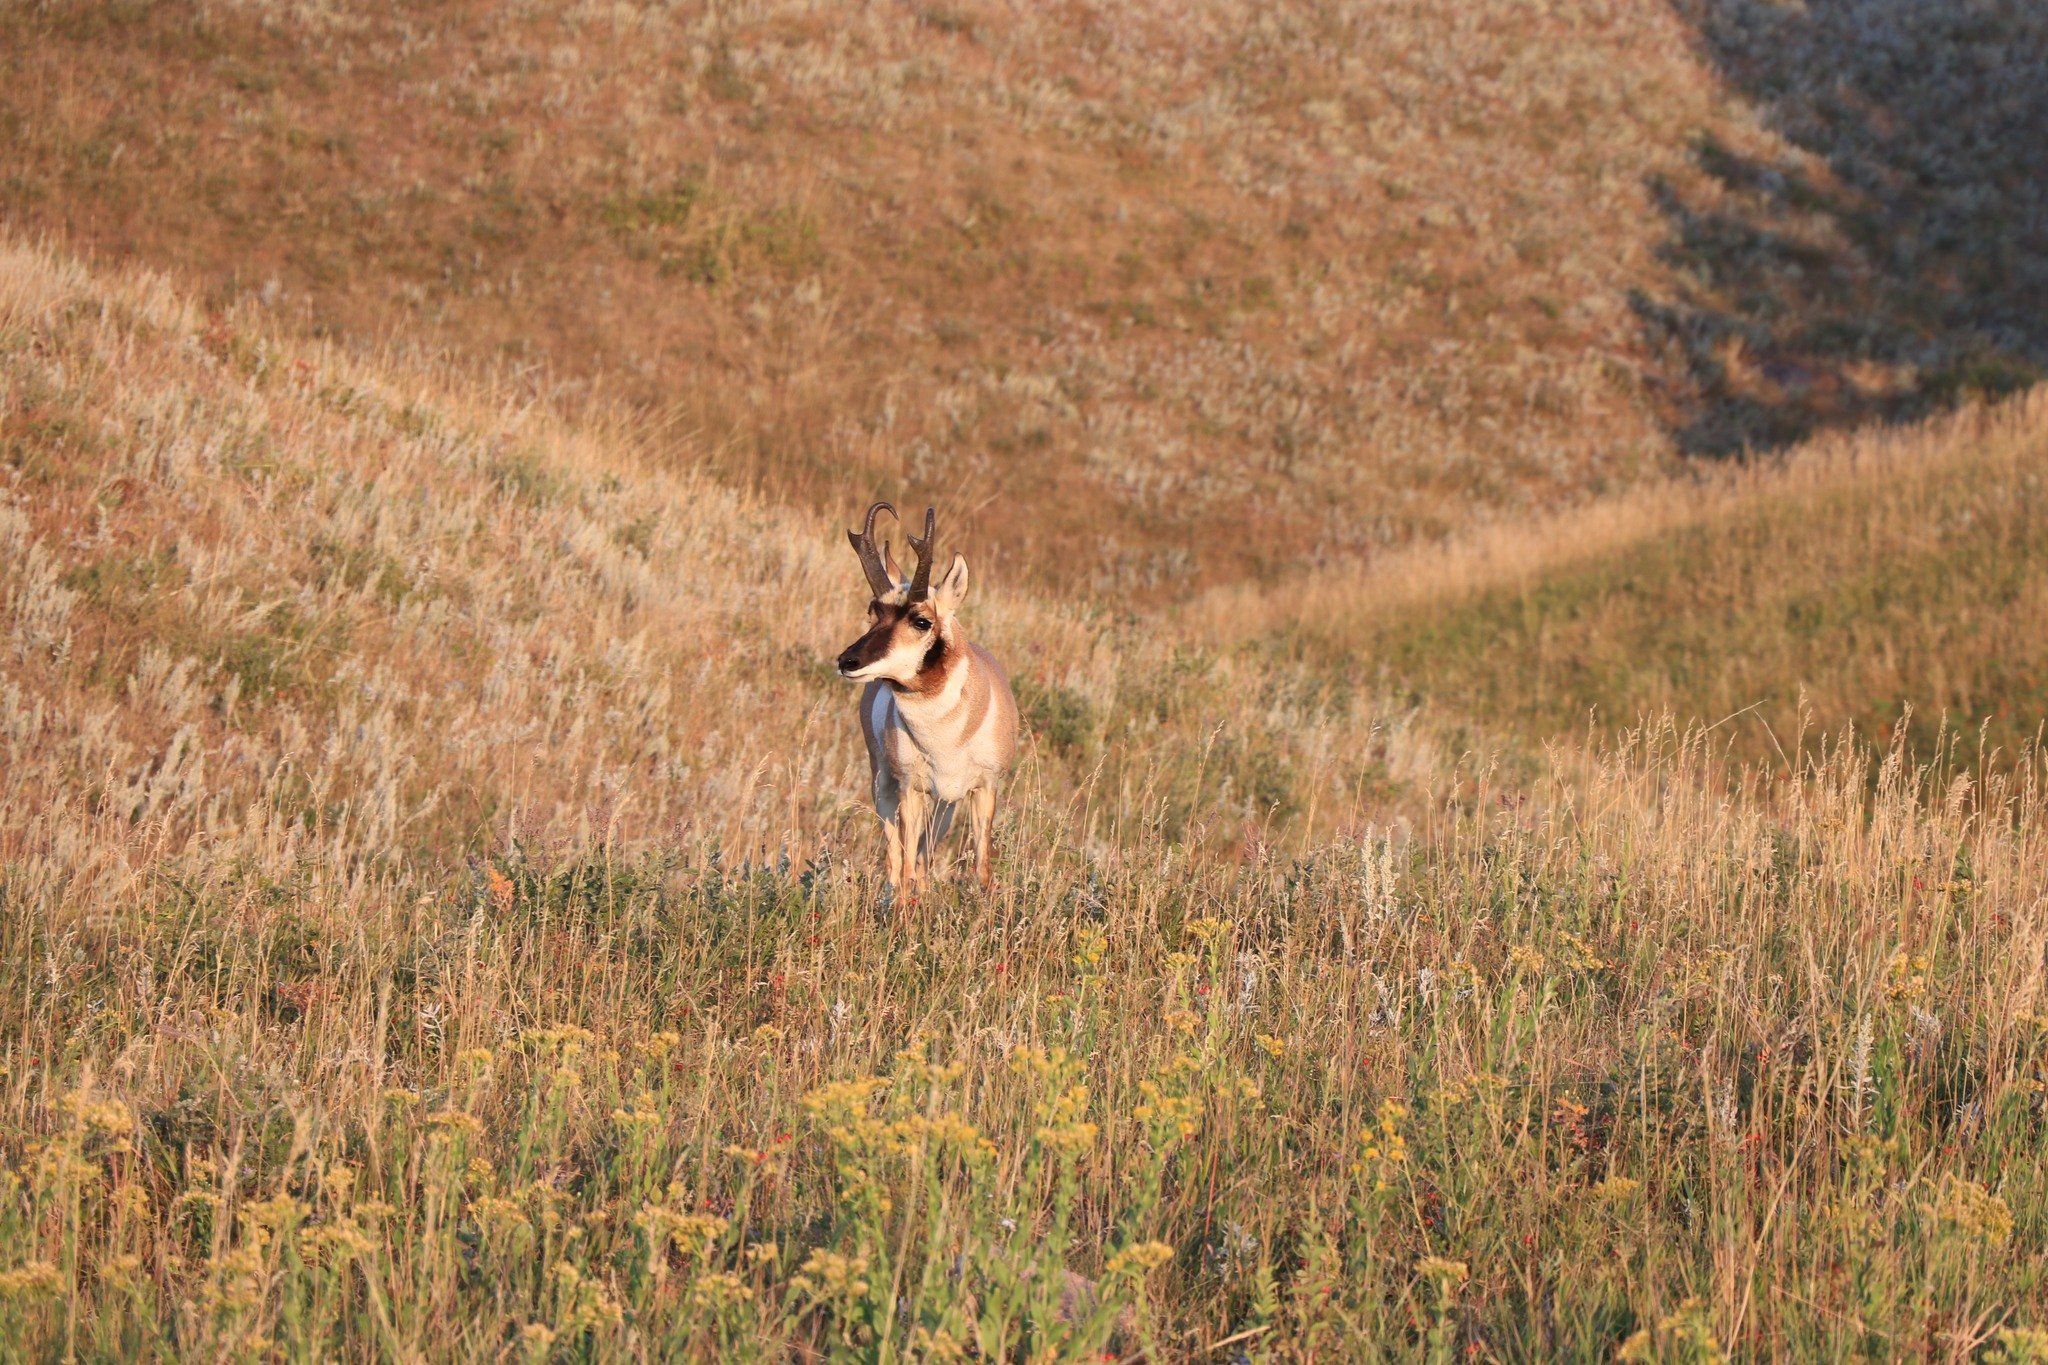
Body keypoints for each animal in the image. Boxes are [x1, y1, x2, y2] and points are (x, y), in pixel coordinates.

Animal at [835, 501, 1019, 896]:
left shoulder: (984, 787)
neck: (946, 737)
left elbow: (982, 867)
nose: (847, 661)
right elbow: (904, 861)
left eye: (921, 621)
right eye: (873, 611)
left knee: (924, 850)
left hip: (947, 802)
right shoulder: (911, 789)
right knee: (896, 856)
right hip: (884, 782)